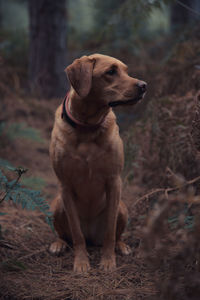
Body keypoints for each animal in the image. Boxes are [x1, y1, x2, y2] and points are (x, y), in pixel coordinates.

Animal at [49, 54, 146, 272]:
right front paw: (81, 262)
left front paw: (108, 261)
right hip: (58, 204)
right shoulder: (65, 185)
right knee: (66, 235)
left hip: (122, 207)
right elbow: (76, 234)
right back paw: (59, 244)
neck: (87, 127)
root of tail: (92, 237)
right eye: (110, 71)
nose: (144, 85)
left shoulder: (114, 181)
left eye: (126, 71)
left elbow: (110, 231)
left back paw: (121, 246)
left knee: (115, 234)